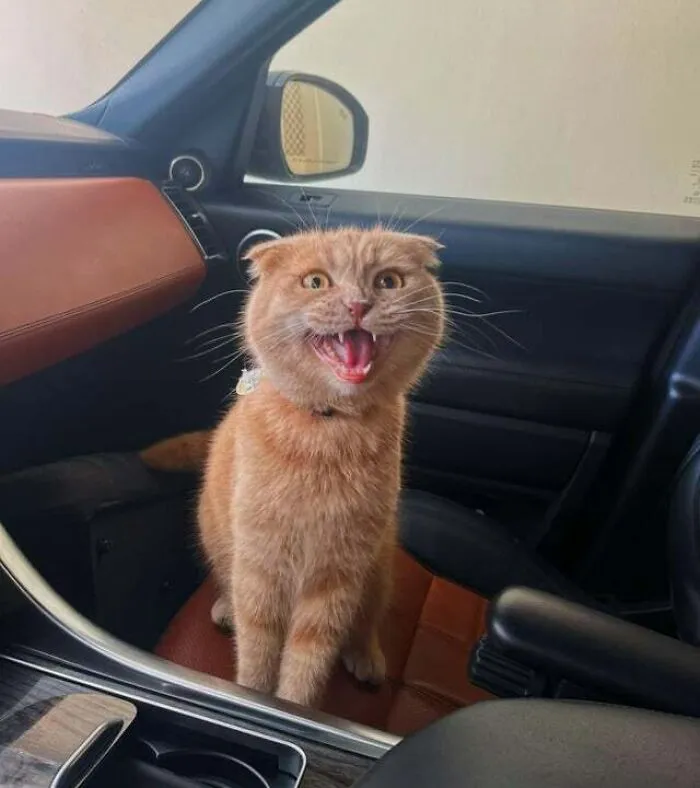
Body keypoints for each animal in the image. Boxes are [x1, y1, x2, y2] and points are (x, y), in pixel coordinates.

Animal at [142, 227, 445, 707]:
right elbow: (258, 644)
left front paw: (294, 706)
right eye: (316, 282)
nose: (358, 304)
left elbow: (309, 658)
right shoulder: (259, 564)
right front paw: (253, 694)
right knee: (227, 581)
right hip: (216, 535)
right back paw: (226, 607)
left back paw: (366, 656)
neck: (324, 432)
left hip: (378, 569)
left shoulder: (336, 577)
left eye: (389, 282)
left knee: (366, 622)